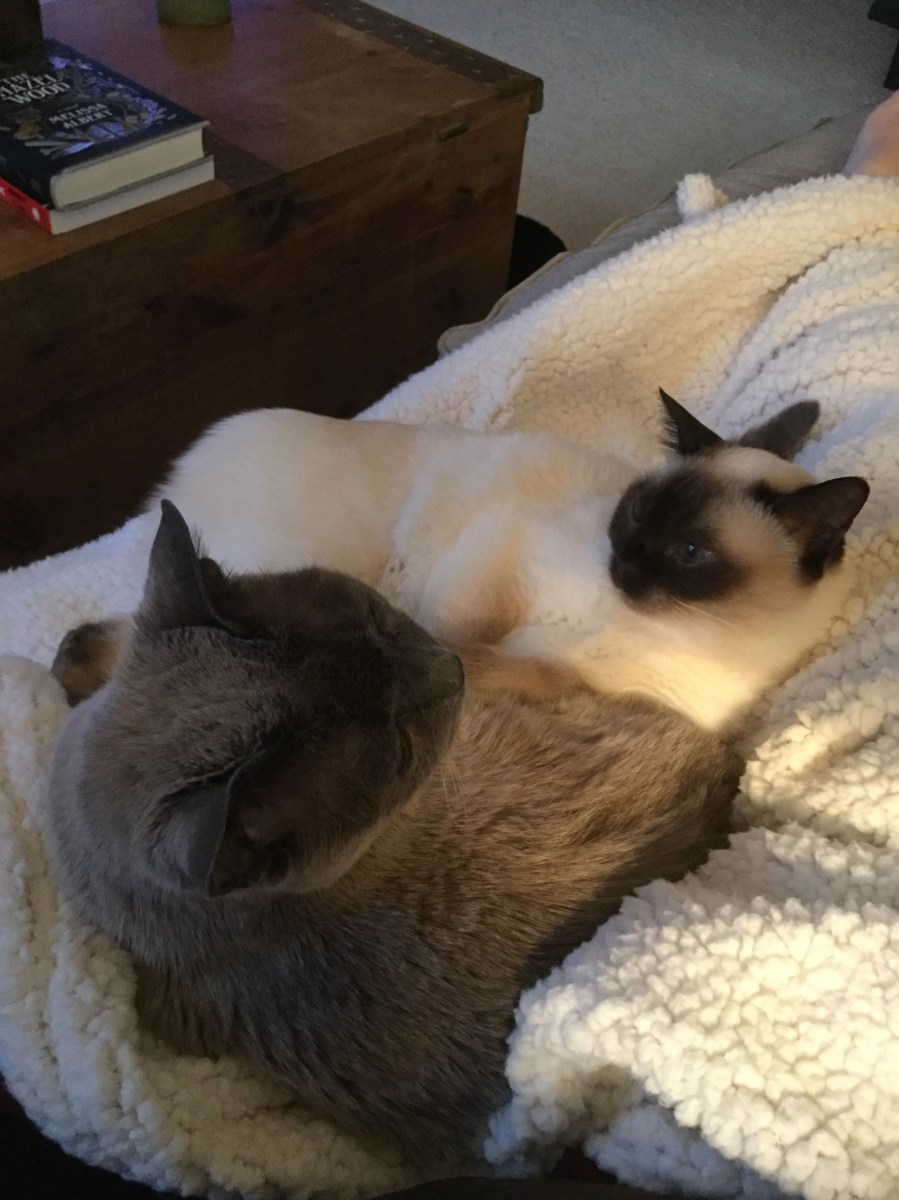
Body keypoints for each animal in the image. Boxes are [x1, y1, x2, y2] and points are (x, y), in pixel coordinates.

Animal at [153, 391, 869, 731]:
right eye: (637, 514)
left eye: (691, 553)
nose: (625, 568)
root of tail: (177, 475)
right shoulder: (504, 554)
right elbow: (451, 632)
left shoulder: (569, 681)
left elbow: (487, 664)